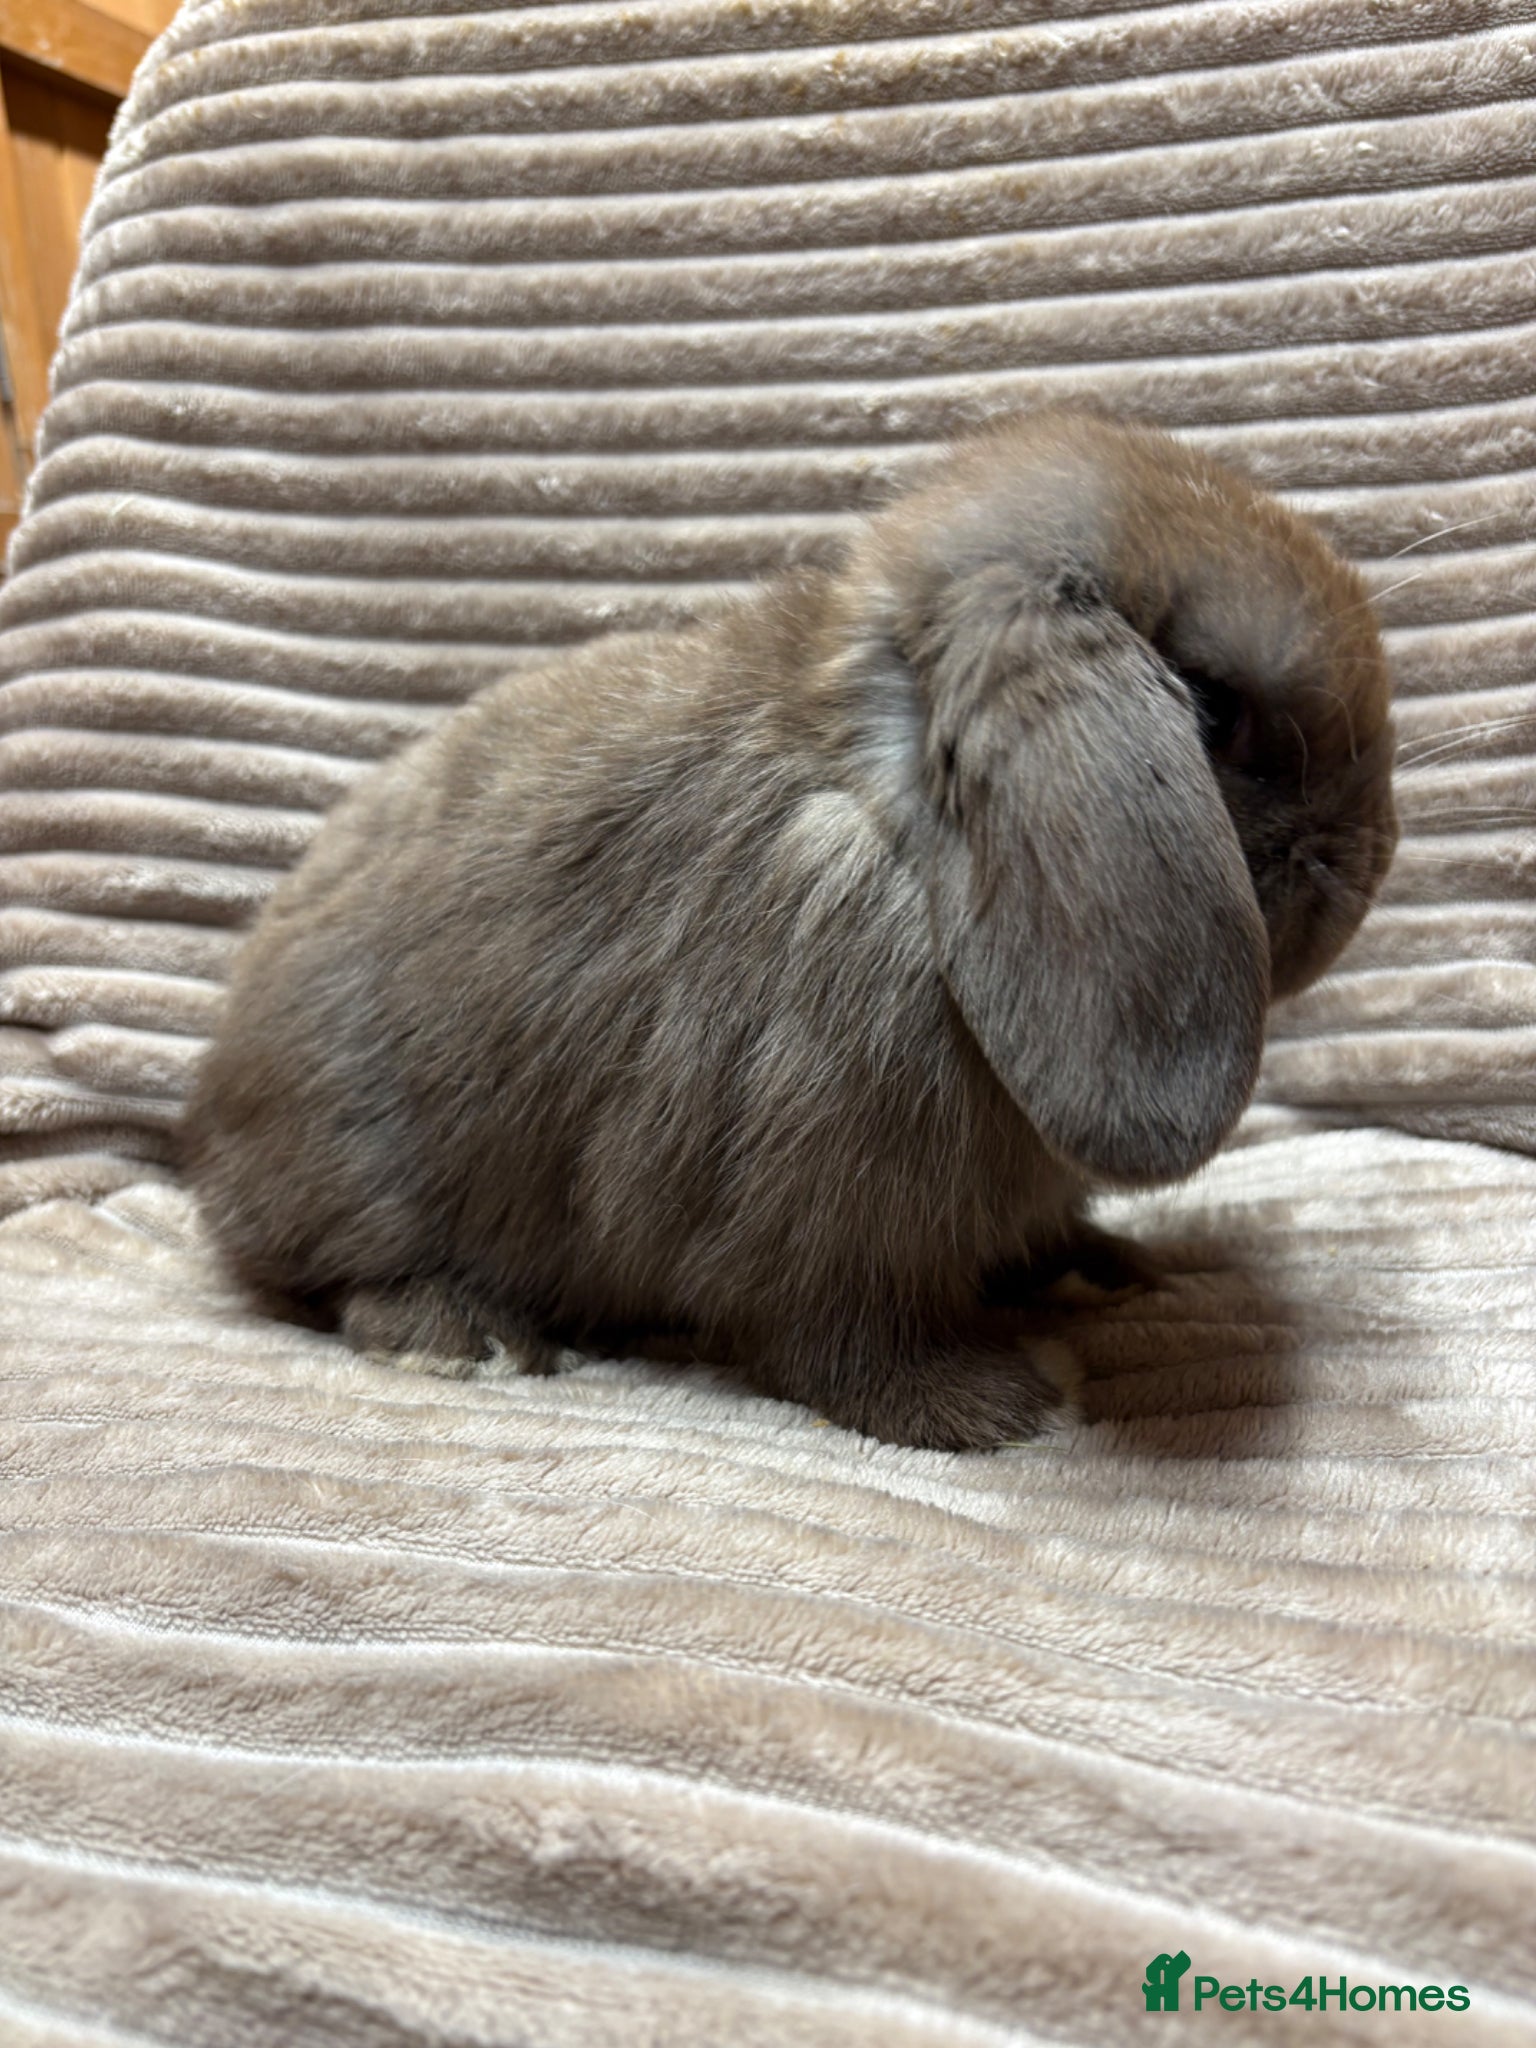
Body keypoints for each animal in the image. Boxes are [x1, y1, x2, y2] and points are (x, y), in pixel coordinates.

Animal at [183, 409, 1397, 1451]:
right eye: (1209, 709)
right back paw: (467, 1338)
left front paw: (1106, 1269)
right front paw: (1000, 1405)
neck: (901, 823)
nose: (1373, 855)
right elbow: (834, 1336)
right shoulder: (815, 1207)